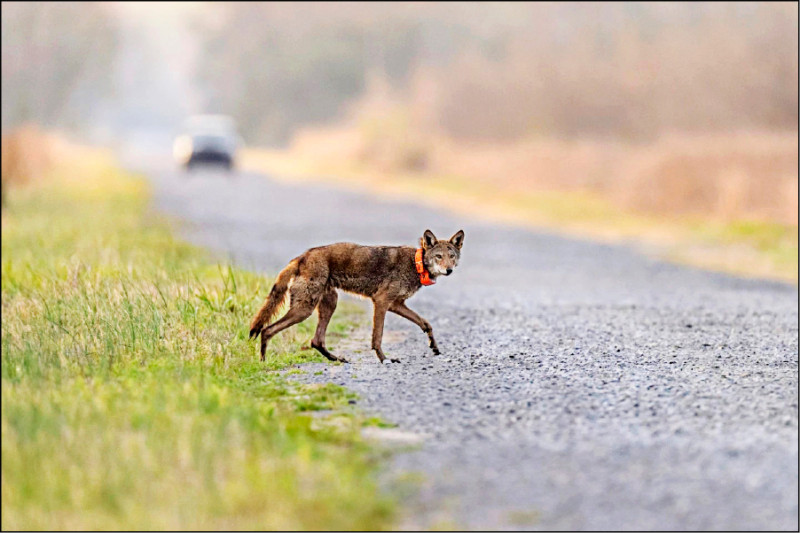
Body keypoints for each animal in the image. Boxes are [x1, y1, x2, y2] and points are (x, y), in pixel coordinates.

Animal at [248, 229, 462, 362]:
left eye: (452, 257)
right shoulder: (381, 302)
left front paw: (434, 347)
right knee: (267, 330)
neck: (416, 264)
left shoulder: (396, 304)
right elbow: (377, 337)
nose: (449, 270)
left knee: (316, 341)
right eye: (438, 257)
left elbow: (425, 323)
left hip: (328, 304)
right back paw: (263, 363)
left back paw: (338, 359)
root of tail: (302, 257)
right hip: (304, 310)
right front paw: (385, 359)